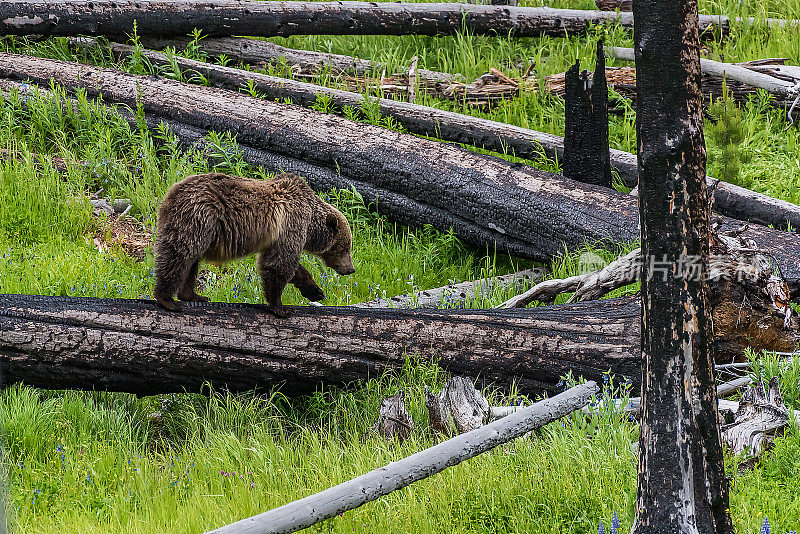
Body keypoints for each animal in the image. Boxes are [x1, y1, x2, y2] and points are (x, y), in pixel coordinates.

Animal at [155, 172, 354, 316]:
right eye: (346, 248)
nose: (351, 269)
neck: (311, 223)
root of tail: (171, 193)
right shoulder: (291, 223)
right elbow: (279, 264)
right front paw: (281, 307)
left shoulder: (279, 236)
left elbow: (286, 264)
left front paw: (315, 291)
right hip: (198, 218)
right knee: (179, 256)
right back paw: (168, 300)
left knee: (191, 261)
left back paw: (194, 295)